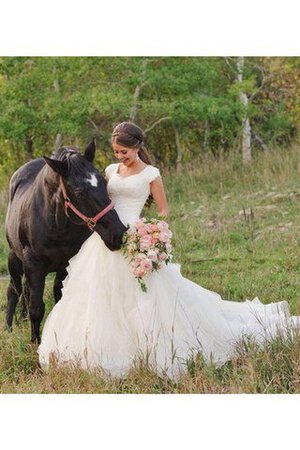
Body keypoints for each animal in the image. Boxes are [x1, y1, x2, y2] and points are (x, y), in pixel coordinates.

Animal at [5, 142, 126, 342]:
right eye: (79, 192)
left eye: (104, 181)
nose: (118, 234)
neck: (56, 225)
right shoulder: (34, 266)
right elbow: (36, 309)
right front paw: (34, 343)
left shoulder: (65, 265)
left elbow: (59, 299)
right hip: (14, 258)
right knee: (14, 291)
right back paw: (8, 327)